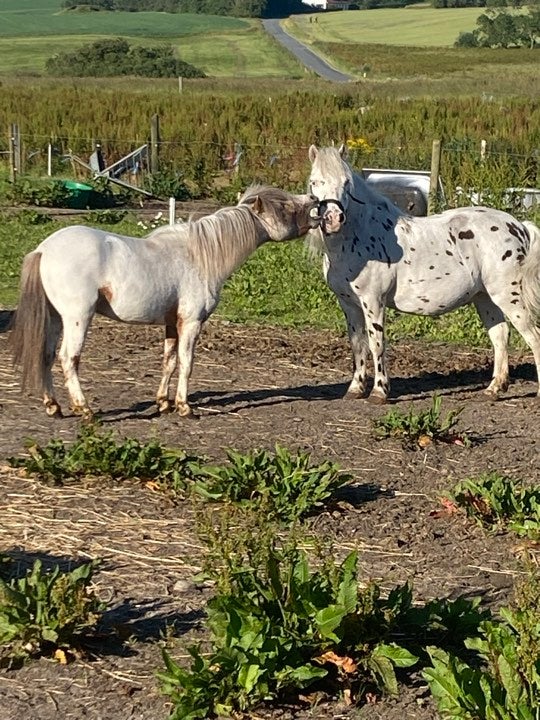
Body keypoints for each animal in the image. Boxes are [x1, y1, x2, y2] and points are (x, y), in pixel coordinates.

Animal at [308, 143, 540, 402]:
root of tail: (519, 226)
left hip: (509, 296)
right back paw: (494, 389)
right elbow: (358, 344)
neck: (362, 234)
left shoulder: (373, 301)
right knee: (500, 336)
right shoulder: (349, 303)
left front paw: (379, 392)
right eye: (314, 182)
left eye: (346, 182)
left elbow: (376, 343)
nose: (333, 219)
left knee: (533, 337)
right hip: (485, 298)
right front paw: (355, 389)